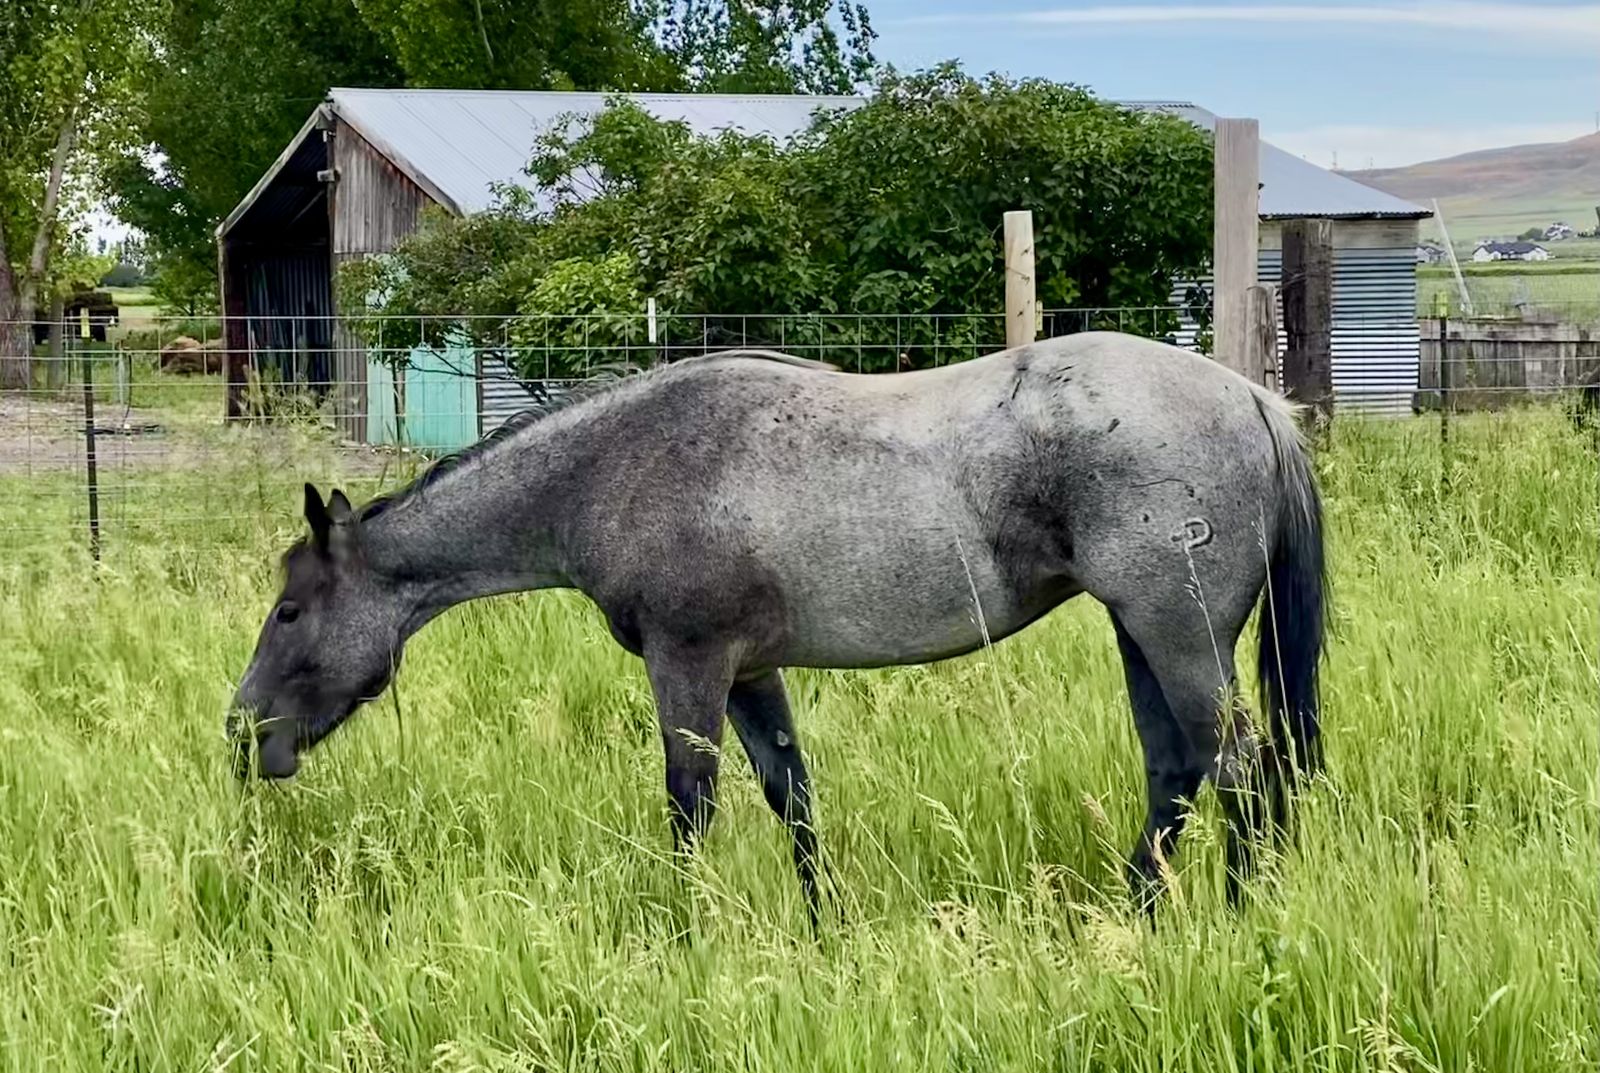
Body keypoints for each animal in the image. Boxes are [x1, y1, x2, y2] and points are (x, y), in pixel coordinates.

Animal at [228, 331, 1326, 920]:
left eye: (290, 609)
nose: (244, 733)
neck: (623, 465)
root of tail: (1253, 401)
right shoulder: (751, 672)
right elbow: (790, 795)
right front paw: (820, 923)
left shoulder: (690, 663)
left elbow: (690, 799)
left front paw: (680, 927)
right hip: (1142, 634)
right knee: (1177, 769)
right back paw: (1136, 912)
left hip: (1178, 634)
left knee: (1239, 766)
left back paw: (1239, 912)